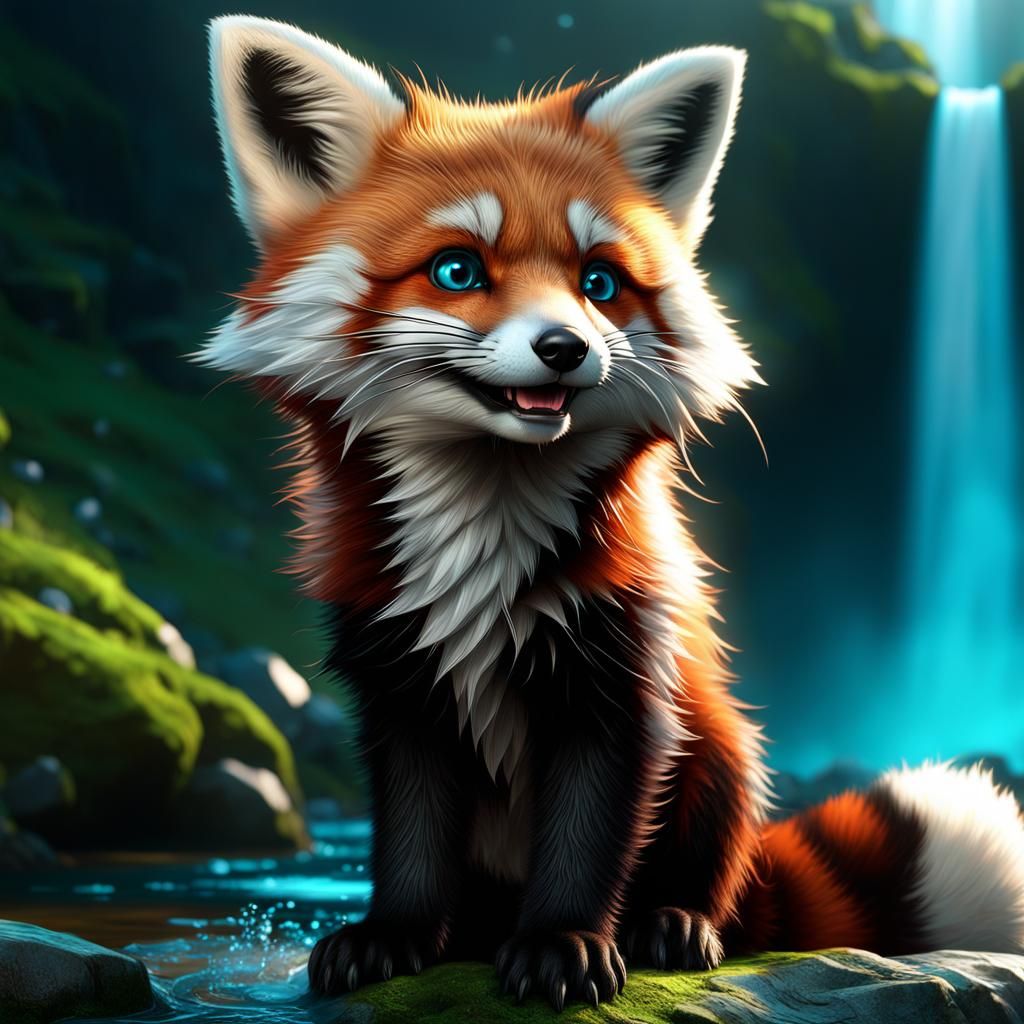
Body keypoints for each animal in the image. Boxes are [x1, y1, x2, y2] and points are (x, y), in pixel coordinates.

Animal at [200, 15, 1024, 1011]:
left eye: (599, 282)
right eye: (456, 270)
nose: (565, 348)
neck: (485, 542)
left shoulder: (625, 669)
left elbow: (590, 833)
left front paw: (565, 945)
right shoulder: (397, 671)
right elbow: (411, 835)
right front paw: (395, 935)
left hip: (724, 750)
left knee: (719, 870)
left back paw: (677, 923)